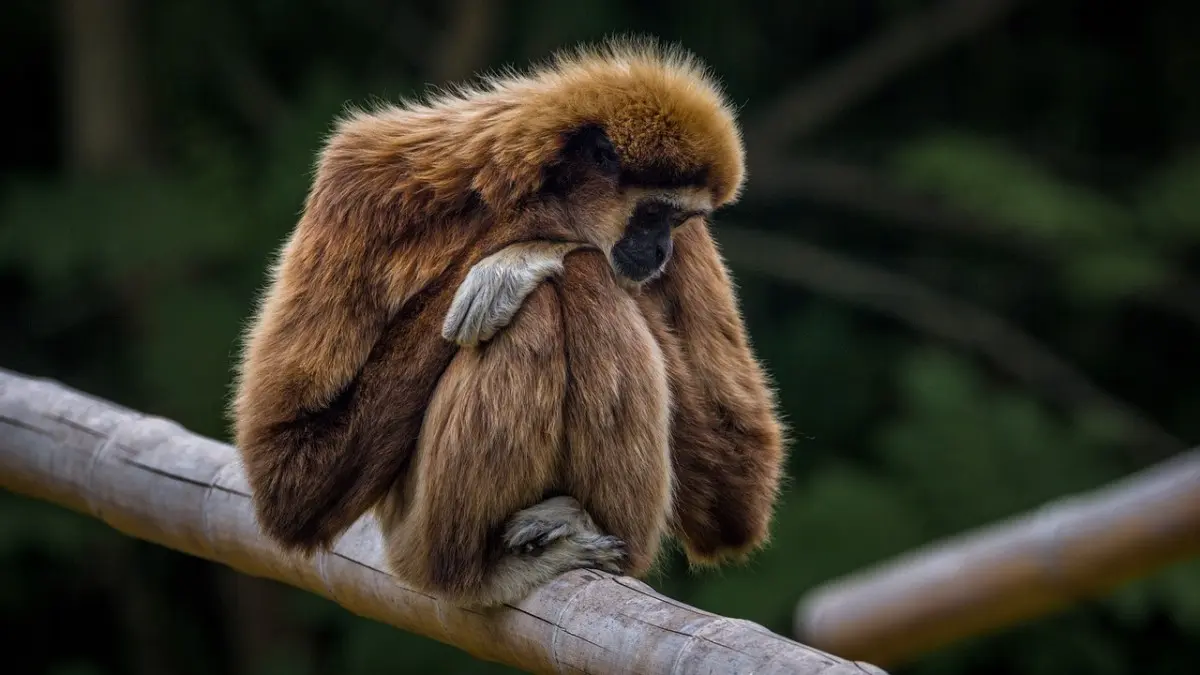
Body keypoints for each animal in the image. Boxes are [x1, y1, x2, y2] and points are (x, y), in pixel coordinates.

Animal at [231, 37, 785, 608]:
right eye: (654, 214)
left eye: (677, 220)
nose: (660, 249)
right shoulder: (360, 183)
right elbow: (291, 476)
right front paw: (535, 234)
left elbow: (736, 487)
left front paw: (524, 250)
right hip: (416, 539)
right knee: (560, 290)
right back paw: (481, 571)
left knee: (585, 277)